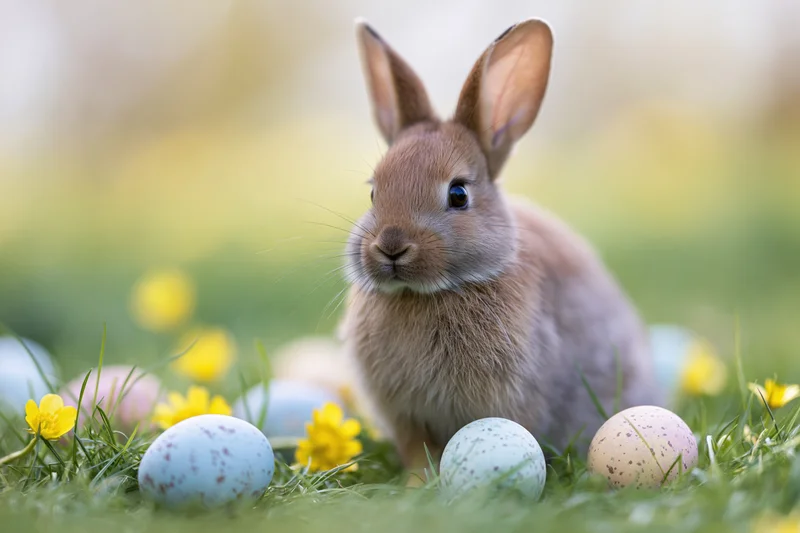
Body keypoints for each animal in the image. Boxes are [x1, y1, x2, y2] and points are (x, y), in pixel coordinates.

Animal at [339, 17, 662, 471]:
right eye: (373, 193)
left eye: (458, 194)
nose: (391, 245)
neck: (427, 294)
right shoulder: (408, 418)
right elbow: (417, 453)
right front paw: (418, 482)